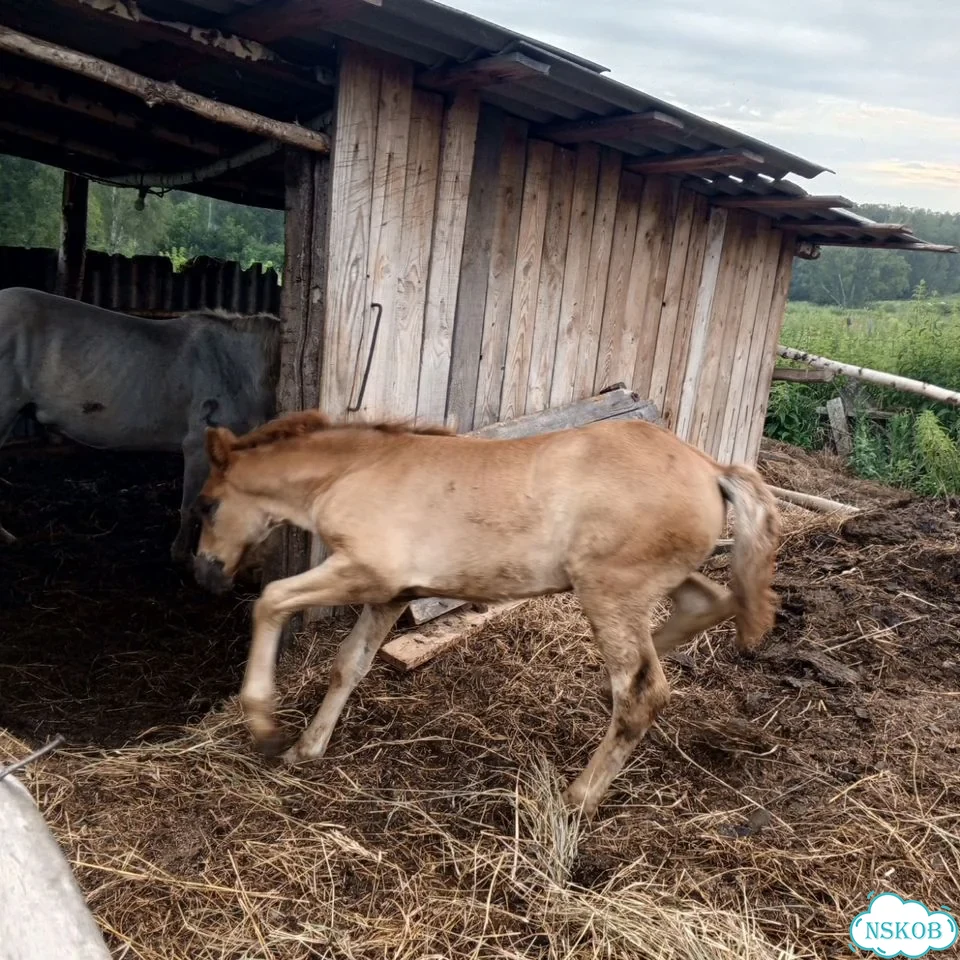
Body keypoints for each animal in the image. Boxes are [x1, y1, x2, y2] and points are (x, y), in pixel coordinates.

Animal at [191, 409, 781, 818]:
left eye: (206, 504)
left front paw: (265, 727)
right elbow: (349, 663)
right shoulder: (393, 593)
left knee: (642, 691)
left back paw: (578, 797)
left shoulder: (367, 572)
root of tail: (711, 468)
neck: (355, 471)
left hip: (610, 589)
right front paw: (307, 748)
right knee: (710, 602)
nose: (205, 573)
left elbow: (271, 600)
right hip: (641, 585)